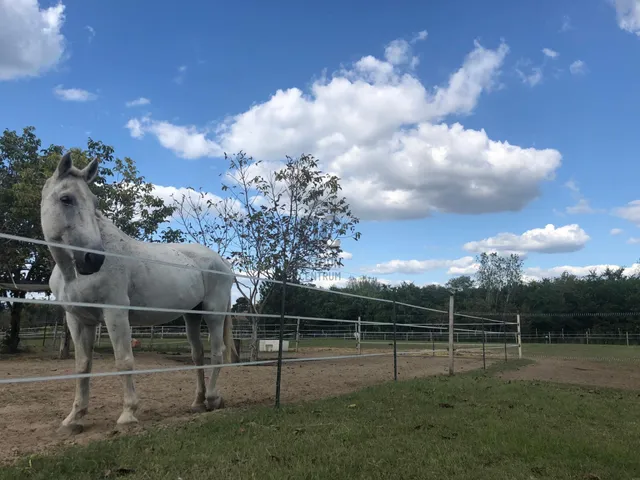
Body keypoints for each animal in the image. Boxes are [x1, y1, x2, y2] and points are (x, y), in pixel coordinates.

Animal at [42, 152, 238, 434]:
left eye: (94, 202)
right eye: (66, 198)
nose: (93, 259)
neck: (73, 274)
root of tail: (222, 262)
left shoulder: (115, 313)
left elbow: (124, 361)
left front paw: (128, 415)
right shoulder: (78, 320)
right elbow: (82, 365)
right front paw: (74, 419)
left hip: (214, 313)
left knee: (217, 352)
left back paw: (213, 399)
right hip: (192, 316)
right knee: (197, 355)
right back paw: (198, 402)